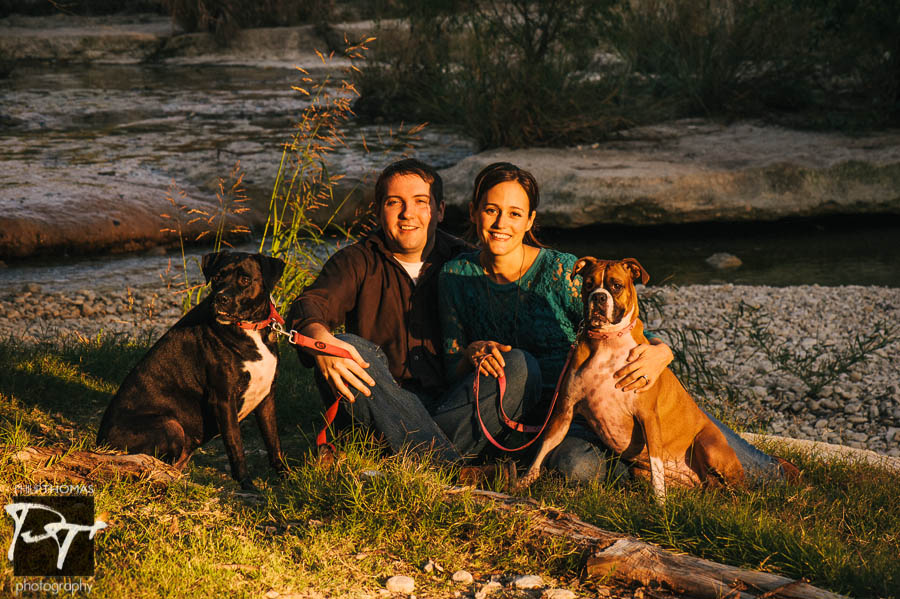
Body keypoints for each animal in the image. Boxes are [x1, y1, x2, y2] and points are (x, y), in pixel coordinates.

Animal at [96, 251, 284, 490]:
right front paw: (248, 486)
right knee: (157, 461)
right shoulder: (224, 400)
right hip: (171, 425)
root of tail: (100, 445)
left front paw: (287, 477)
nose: (220, 298)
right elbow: (236, 447)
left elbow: (274, 443)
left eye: (245, 279)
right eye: (217, 277)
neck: (250, 329)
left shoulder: (267, 396)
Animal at [516, 258, 740, 502]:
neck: (608, 340)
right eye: (588, 284)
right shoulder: (564, 412)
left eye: (616, 285)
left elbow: (656, 467)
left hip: (708, 446)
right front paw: (524, 481)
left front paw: (660, 504)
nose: (599, 297)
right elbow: (544, 447)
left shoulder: (648, 417)